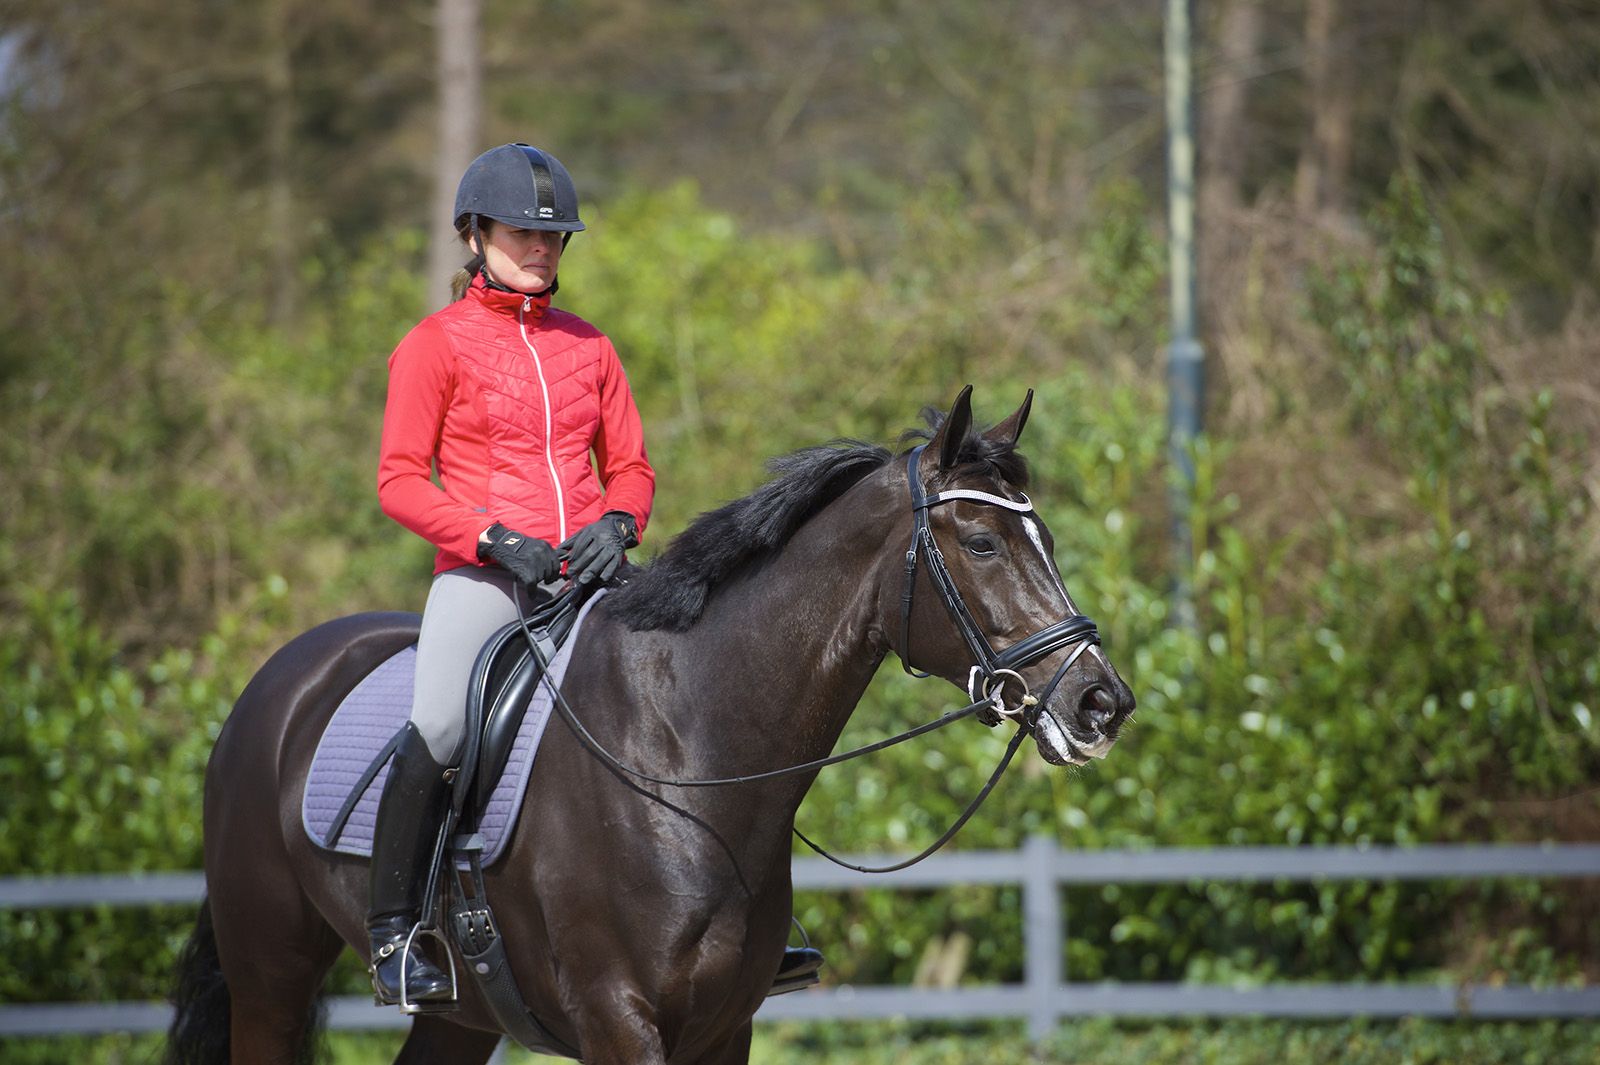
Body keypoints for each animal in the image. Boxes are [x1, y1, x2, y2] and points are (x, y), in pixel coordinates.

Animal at [165, 386, 1135, 1065]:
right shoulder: (618, 1017)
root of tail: (279, 681)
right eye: (982, 544)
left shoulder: (724, 1027)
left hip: (461, 1014)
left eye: (1045, 539)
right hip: (270, 976)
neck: (687, 751)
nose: (1102, 702)